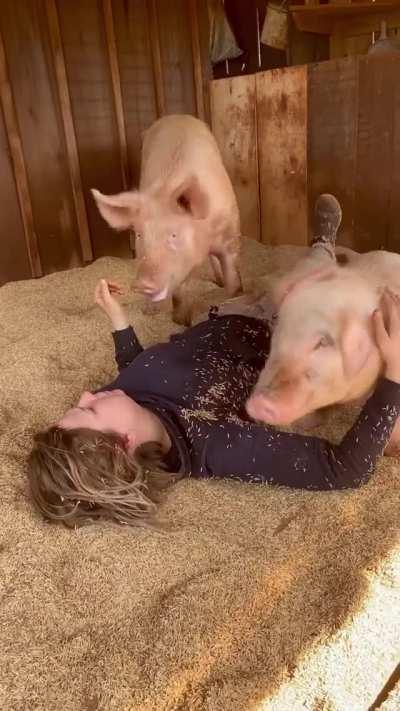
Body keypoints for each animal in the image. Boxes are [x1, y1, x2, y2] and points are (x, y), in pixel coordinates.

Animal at [91, 114, 242, 325]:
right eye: (139, 235)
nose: (141, 284)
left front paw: (234, 296)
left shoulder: (231, 235)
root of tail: (176, 116)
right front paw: (180, 322)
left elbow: (234, 279)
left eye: (174, 235)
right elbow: (179, 295)